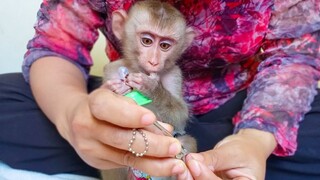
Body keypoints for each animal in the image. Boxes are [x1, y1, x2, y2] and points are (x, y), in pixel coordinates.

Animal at [102, 0, 196, 179]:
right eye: (147, 41)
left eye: (164, 45)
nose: (153, 62)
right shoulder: (112, 69)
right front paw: (114, 89)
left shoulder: (174, 74)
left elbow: (180, 117)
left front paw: (150, 87)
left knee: (186, 142)